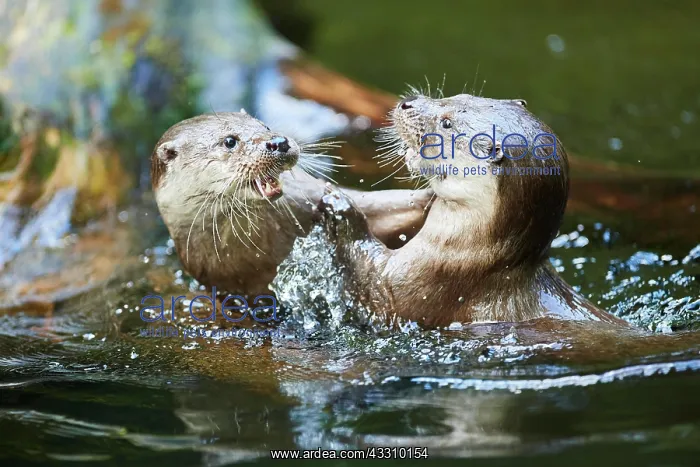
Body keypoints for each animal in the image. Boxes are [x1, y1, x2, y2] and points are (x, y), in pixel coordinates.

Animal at [317, 93, 625, 327]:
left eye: (446, 123)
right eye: (458, 95)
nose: (407, 103)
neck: (475, 260)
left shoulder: (429, 283)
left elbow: (375, 285)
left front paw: (339, 205)